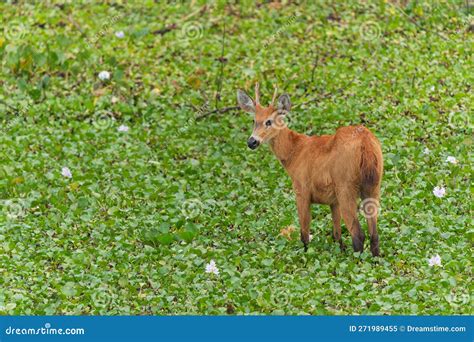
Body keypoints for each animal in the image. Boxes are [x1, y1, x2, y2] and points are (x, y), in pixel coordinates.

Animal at [235, 83, 384, 256]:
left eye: (269, 122)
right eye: (254, 120)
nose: (252, 142)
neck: (294, 153)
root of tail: (365, 144)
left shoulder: (301, 189)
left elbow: (304, 233)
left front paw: (306, 255)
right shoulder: (333, 201)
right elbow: (337, 234)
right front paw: (339, 251)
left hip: (345, 185)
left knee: (358, 234)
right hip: (373, 184)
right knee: (374, 234)